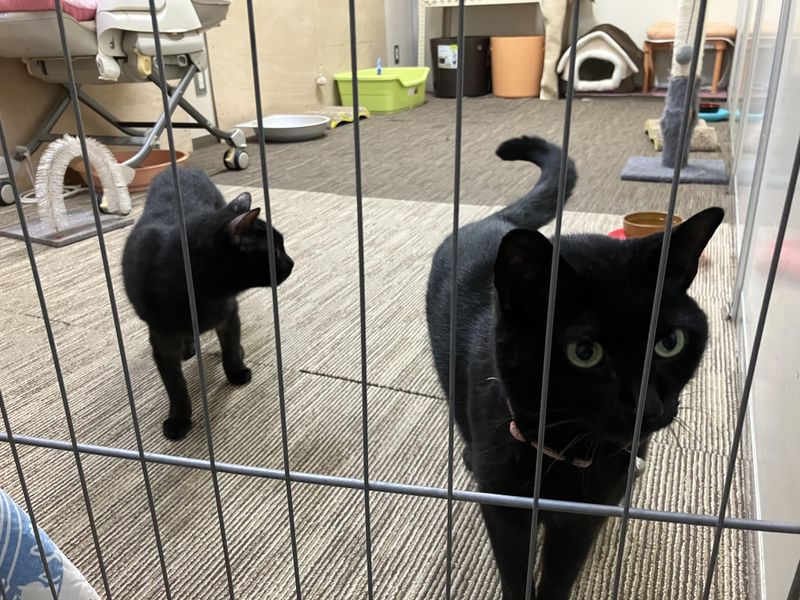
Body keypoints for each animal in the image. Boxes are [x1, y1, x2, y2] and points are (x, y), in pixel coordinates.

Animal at [122, 167, 294, 440]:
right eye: (275, 252)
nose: (291, 263)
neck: (204, 294)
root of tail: (181, 168)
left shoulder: (229, 315)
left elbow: (230, 349)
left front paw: (236, 372)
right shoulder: (161, 341)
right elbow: (176, 386)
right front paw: (179, 419)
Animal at [425, 135, 723, 600]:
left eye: (669, 342)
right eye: (584, 351)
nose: (648, 407)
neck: (569, 454)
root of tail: (497, 219)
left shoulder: (585, 517)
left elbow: (560, 575)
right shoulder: (508, 514)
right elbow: (516, 574)